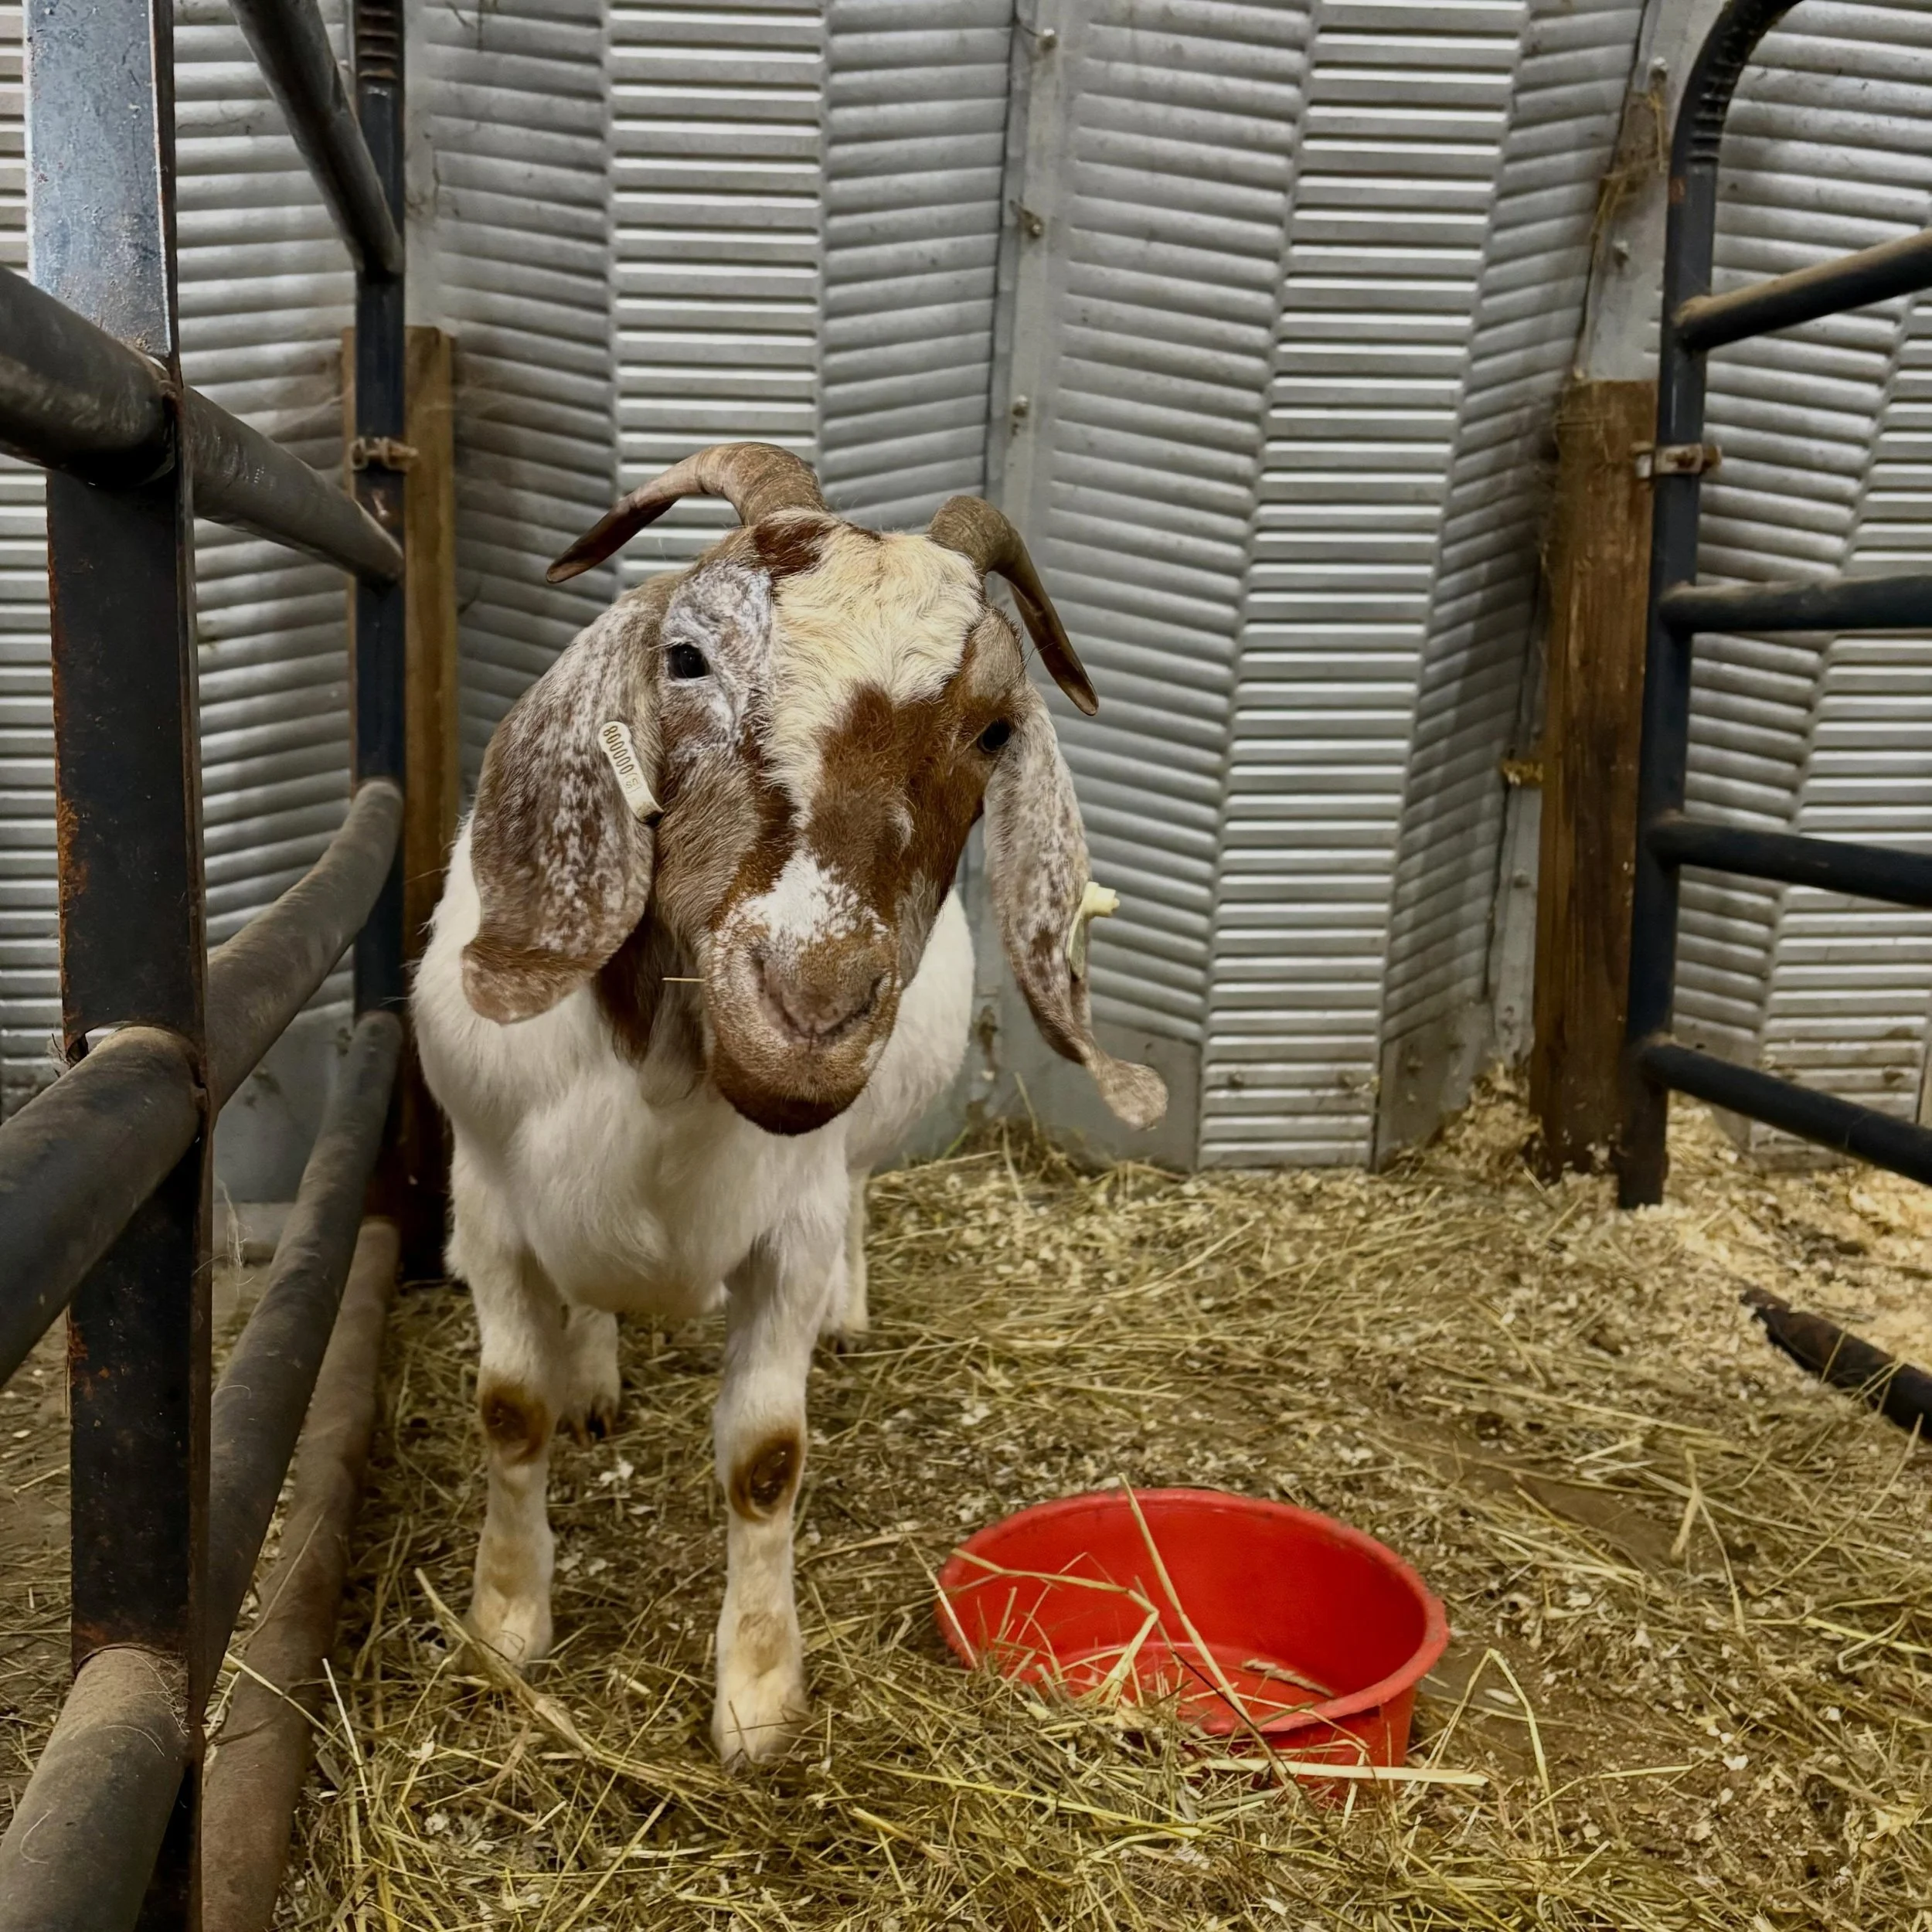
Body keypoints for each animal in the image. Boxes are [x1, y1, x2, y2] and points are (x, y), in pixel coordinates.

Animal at [413, 443, 1165, 1763]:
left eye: (992, 728)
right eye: (686, 659)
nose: (810, 1007)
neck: (664, 1073)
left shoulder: (792, 1227)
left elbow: (765, 1460)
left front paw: (758, 1702)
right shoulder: (487, 1198)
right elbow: (510, 1409)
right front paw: (506, 1626)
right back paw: (596, 1375)